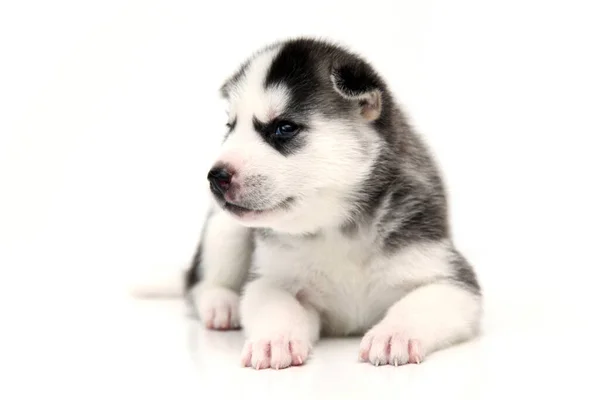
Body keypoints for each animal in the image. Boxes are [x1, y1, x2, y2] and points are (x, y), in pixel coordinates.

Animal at [185, 37, 480, 368]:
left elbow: (420, 304)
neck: (336, 228)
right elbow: (275, 304)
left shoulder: (447, 276)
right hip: (225, 229)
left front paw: (394, 334)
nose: (216, 176)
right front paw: (275, 339)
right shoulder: (271, 279)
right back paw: (221, 304)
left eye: (284, 128)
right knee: (198, 283)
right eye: (230, 126)